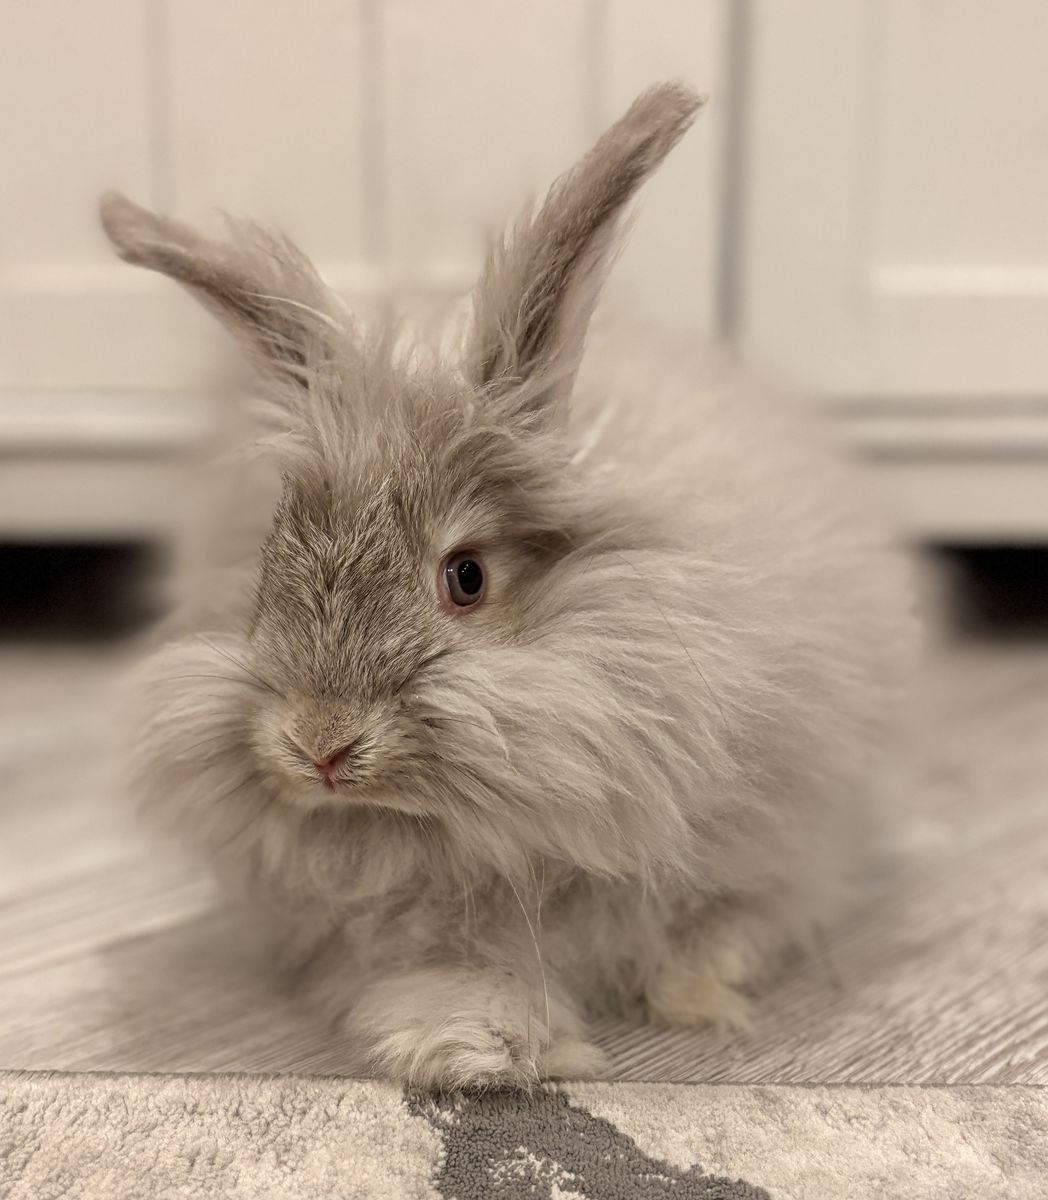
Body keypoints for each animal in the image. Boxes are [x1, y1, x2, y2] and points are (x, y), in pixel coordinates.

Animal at [99, 82, 914, 1090]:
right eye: (266, 571)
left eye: (467, 577)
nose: (319, 746)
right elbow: (451, 972)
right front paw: (476, 1047)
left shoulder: (785, 839)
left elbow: (731, 917)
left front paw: (696, 989)